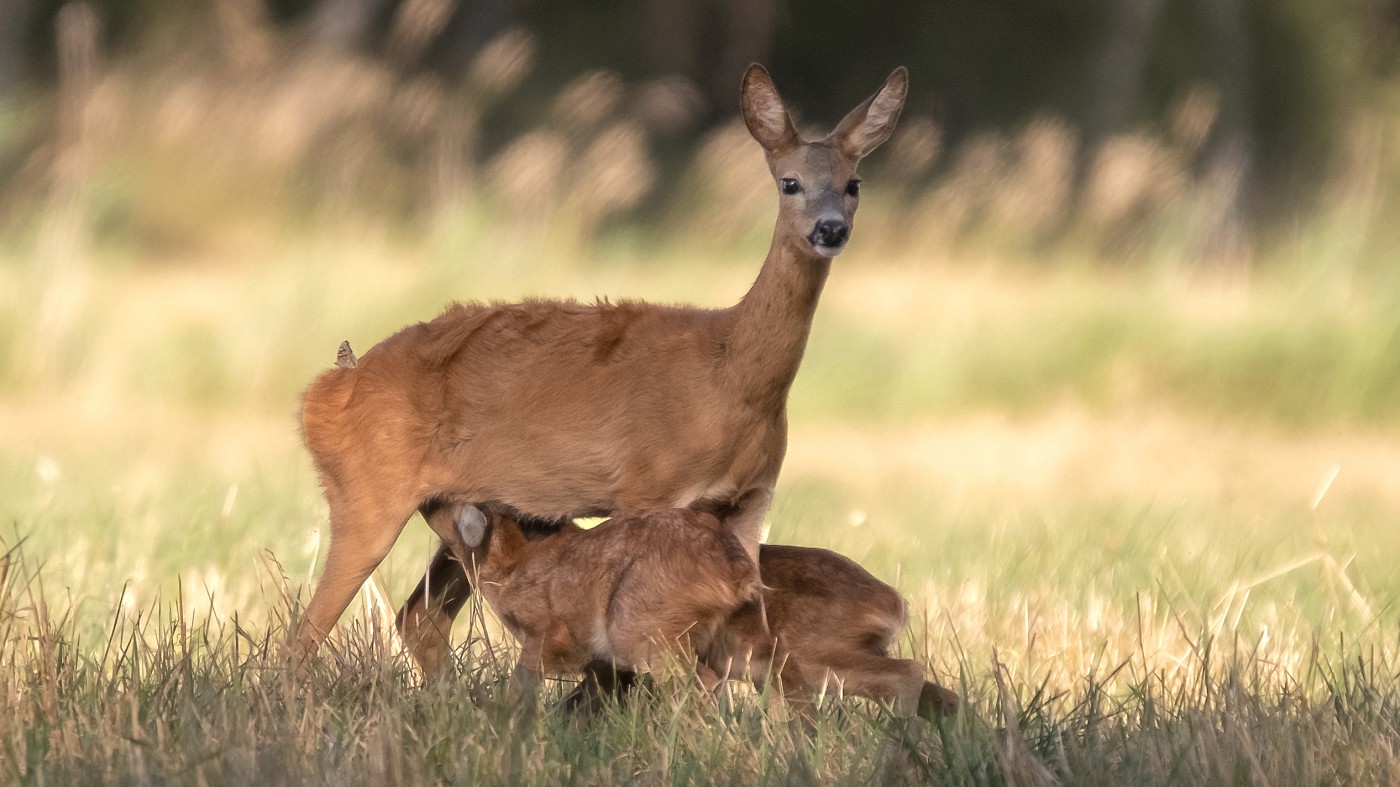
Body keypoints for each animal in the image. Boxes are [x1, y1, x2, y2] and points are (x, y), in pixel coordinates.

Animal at [294, 64, 907, 672]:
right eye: (789, 182)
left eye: (854, 184)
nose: (830, 229)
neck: (729, 375)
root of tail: (328, 388)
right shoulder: (647, 486)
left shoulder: (752, 500)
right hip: (366, 492)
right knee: (306, 632)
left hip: (452, 507)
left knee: (417, 617)